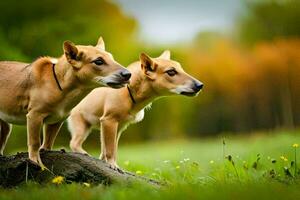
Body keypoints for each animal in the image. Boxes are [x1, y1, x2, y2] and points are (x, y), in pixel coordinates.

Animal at [0, 36, 131, 168]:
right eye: (98, 61)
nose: (128, 74)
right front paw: (36, 162)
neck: (58, 84)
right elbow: (35, 142)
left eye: (111, 57)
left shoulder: (56, 121)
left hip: (6, 125)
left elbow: (47, 143)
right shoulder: (34, 116)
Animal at [68, 50, 204, 169]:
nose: (200, 85)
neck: (130, 91)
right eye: (171, 72)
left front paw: (108, 162)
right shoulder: (109, 121)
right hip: (81, 126)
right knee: (74, 143)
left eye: (181, 69)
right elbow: (110, 149)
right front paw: (112, 165)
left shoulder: (117, 127)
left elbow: (111, 148)